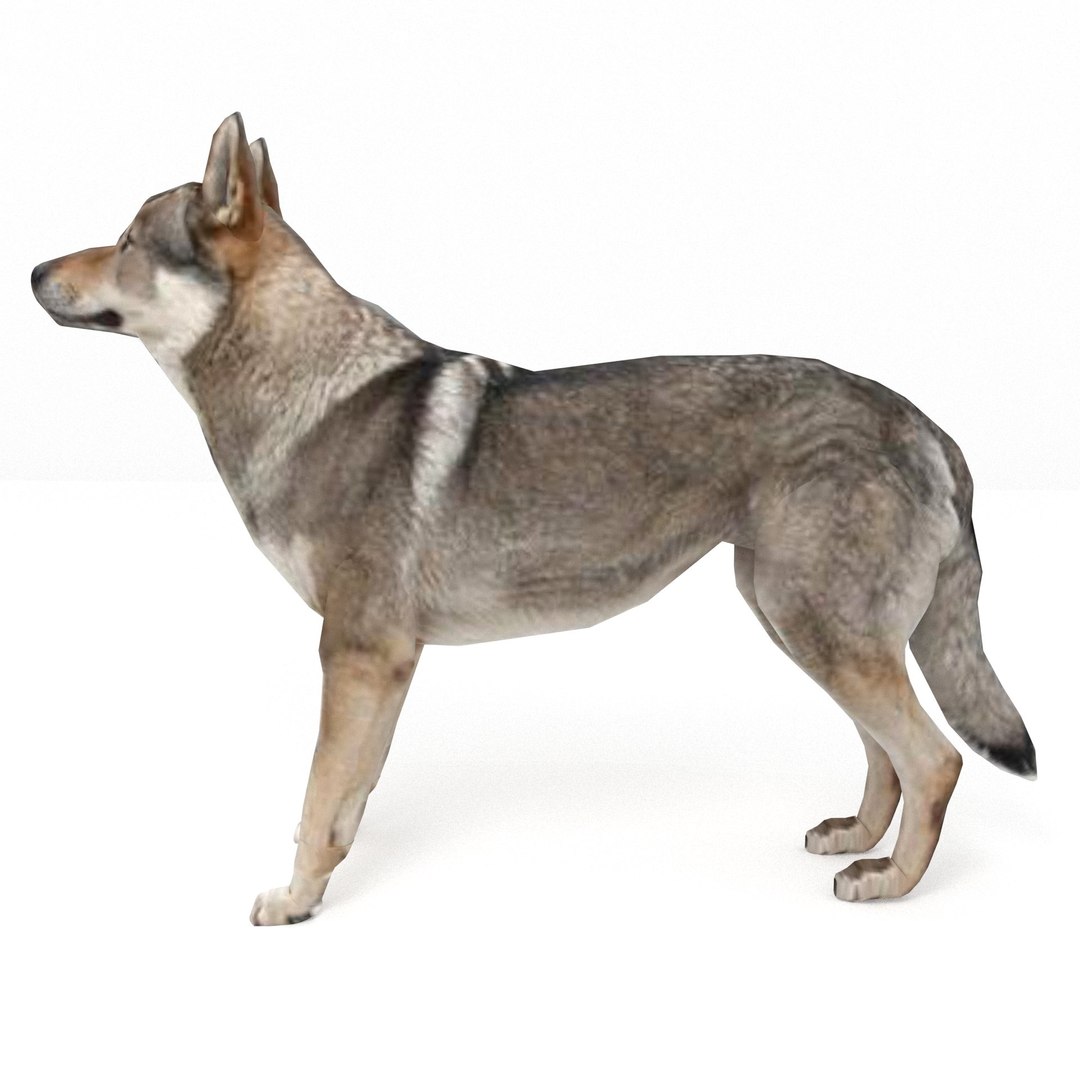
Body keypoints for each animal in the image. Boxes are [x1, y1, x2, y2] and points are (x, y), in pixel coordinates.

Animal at [31, 113, 1036, 924]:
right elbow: (349, 798)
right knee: (887, 756)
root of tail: (926, 423)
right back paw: (856, 840)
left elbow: (317, 802)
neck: (307, 390)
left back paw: (891, 884)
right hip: (800, 624)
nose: (35, 268)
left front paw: (294, 901)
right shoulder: (383, 664)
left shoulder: (355, 653)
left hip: (817, 629)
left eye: (124, 240)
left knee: (934, 760)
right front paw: (323, 887)